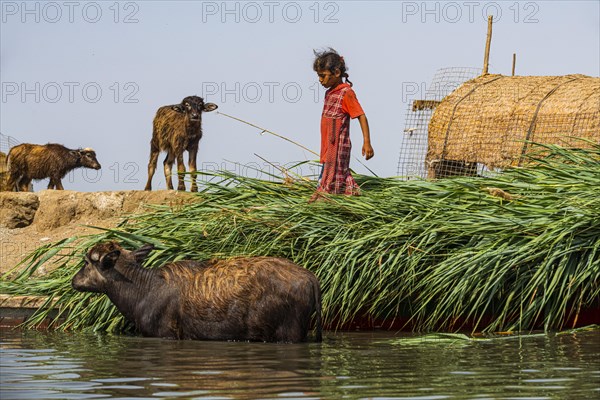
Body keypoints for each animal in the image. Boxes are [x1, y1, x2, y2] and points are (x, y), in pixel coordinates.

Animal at [72, 241, 324, 344]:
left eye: (86, 262)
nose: (74, 281)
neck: (138, 295)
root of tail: (312, 279)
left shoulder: (164, 333)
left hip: (288, 332)